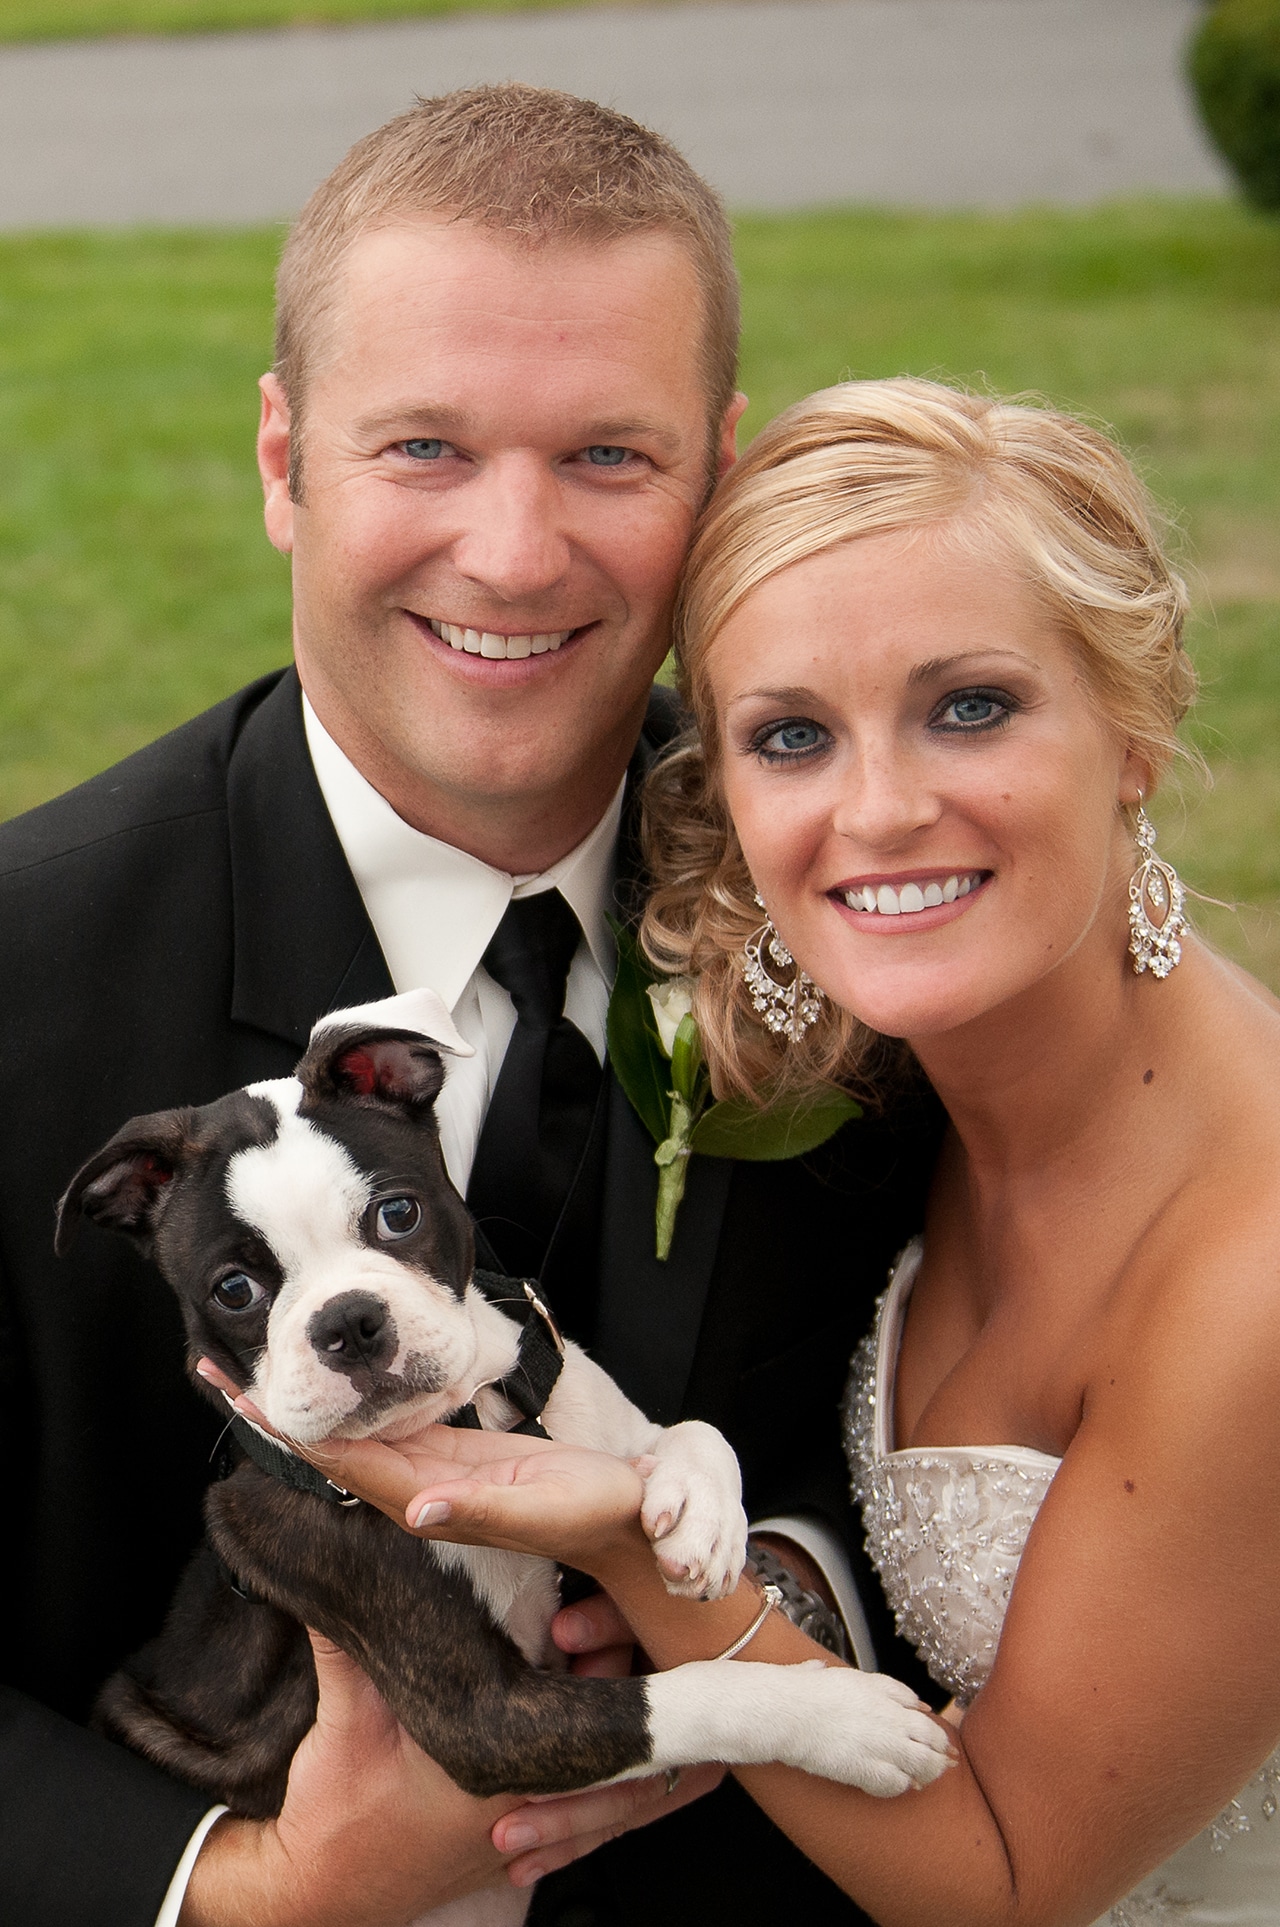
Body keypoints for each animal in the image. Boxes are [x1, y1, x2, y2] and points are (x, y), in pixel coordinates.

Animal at [57, 991, 949, 1875]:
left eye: (398, 1213)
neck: (469, 1410)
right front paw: (849, 1722)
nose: (348, 1321)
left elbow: (699, 1429)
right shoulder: (488, 1719)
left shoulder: (590, 1414)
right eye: (235, 1289)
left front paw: (705, 1520)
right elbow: (687, 1697)